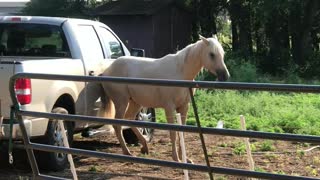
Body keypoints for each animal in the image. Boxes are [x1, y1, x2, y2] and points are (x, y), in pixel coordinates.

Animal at [99, 34, 229, 162]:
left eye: (222, 53)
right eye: (211, 54)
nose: (225, 76)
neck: (181, 72)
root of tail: (106, 71)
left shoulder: (184, 107)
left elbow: (182, 132)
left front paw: (185, 158)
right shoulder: (169, 108)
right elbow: (173, 133)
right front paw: (176, 158)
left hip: (135, 103)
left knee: (129, 119)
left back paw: (144, 147)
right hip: (122, 102)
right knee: (117, 125)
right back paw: (127, 152)